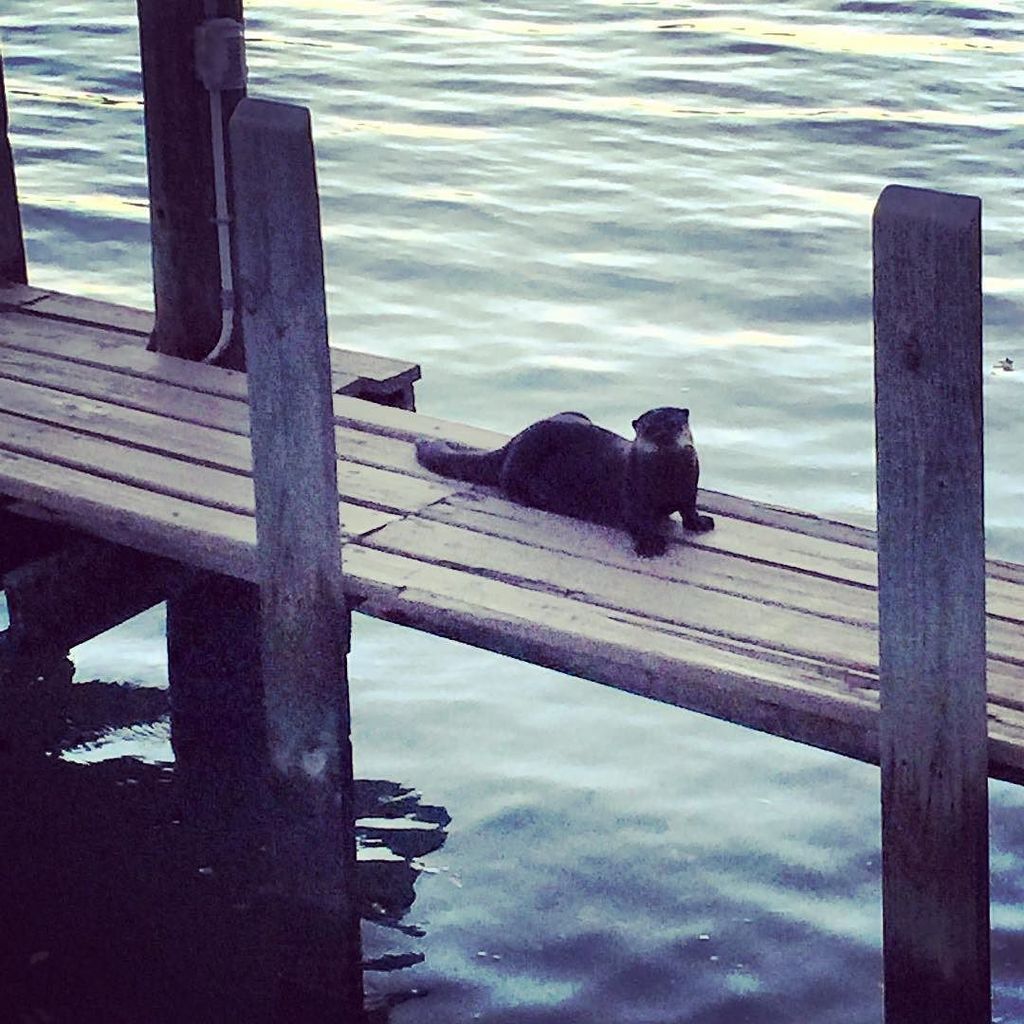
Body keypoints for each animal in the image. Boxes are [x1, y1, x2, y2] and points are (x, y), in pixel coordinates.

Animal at [415, 407, 715, 556]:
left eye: (675, 424)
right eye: (650, 429)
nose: (663, 436)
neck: (668, 480)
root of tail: (512, 442)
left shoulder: (689, 488)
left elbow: (689, 509)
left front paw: (700, 523)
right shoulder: (632, 492)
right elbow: (638, 521)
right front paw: (650, 545)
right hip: (525, 458)